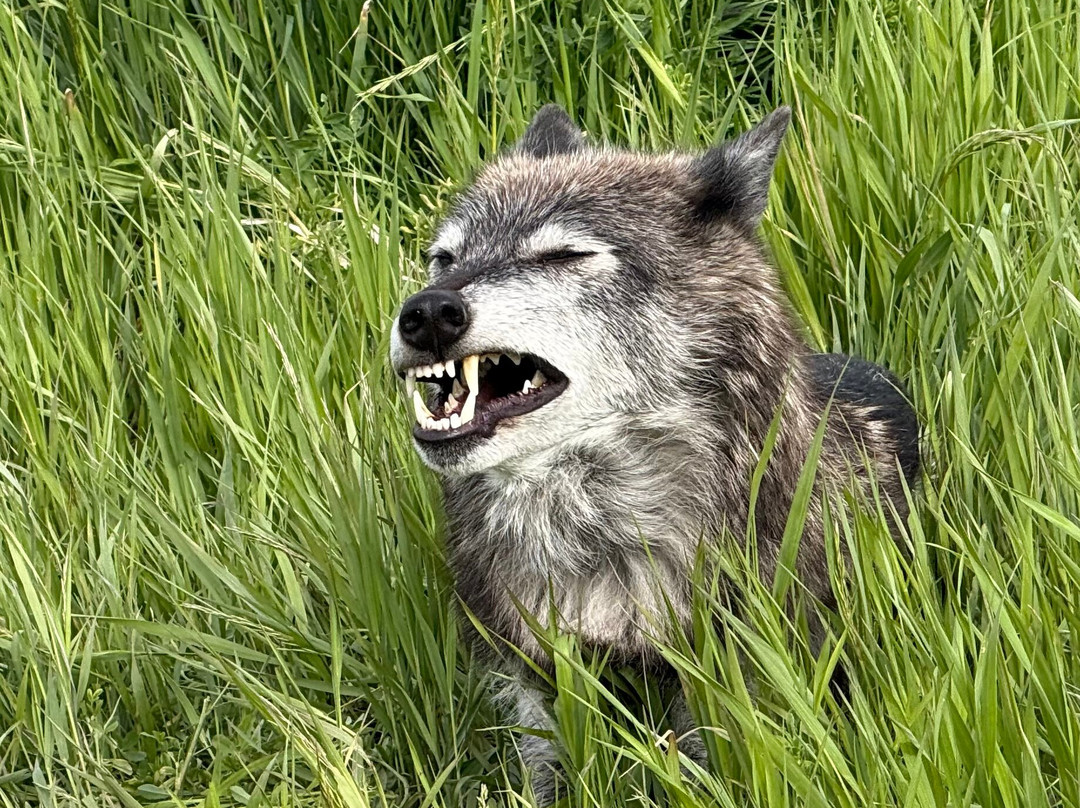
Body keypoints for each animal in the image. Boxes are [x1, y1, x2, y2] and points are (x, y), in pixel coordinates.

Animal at [389, 104, 919, 801]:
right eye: (443, 257)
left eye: (565, 255)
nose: (427, 313)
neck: (602, 544)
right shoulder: (532, 685)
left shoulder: (722, 681)